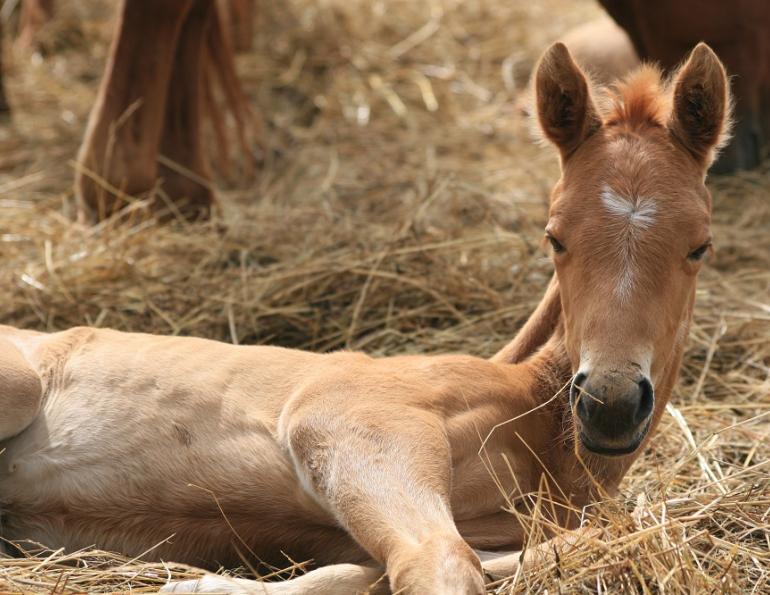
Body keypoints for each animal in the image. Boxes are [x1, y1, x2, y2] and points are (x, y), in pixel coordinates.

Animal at [0, 42, 729, 594]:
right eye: (554, 236)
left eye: (700, 245)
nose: (610, 404)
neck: (535, 421)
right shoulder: (350, 423)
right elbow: (437, 563)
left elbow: (375, 569)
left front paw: (200, 583)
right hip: (19, 384)